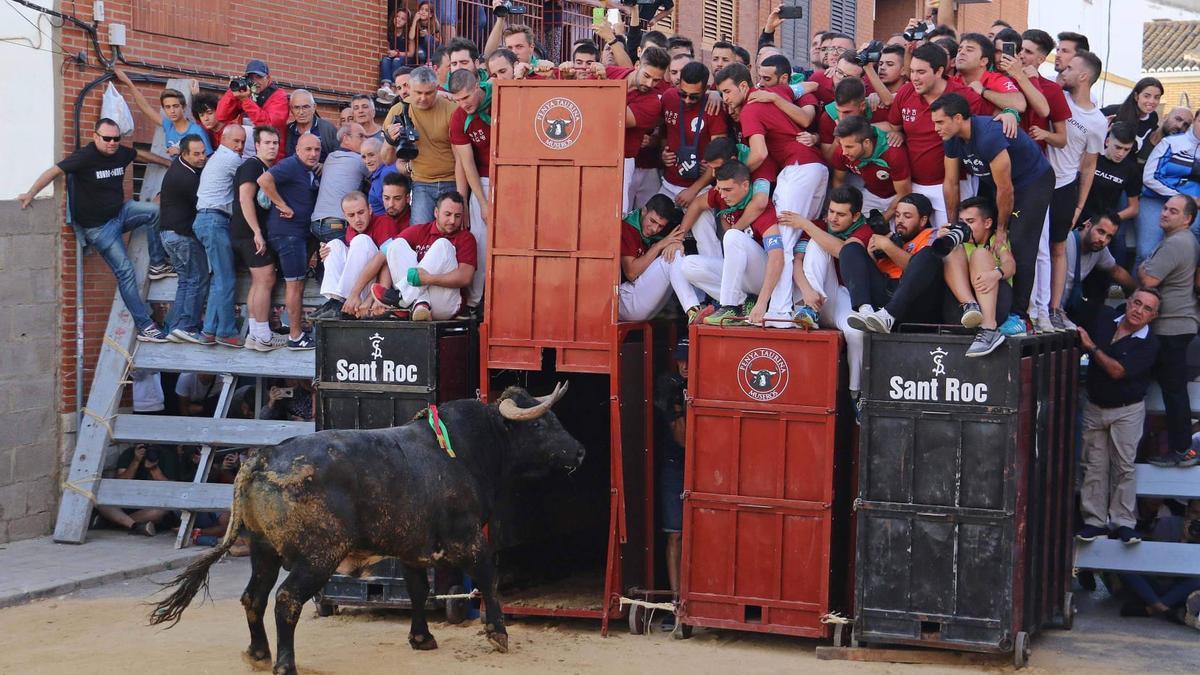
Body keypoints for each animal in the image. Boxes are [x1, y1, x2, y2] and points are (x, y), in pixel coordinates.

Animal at [152, 384, 583, 672]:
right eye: (542, 423)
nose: (579, 451)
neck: (469, 449)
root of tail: (262, 458)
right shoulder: (469, 539)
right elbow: (488, 579)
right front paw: (499, 634)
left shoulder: (412, 548)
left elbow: (418, 590)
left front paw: (422, 638)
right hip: (318, 556)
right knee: (287, 600)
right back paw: (285, 664)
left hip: (263, 549)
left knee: (253, 597)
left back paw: (259, 654)